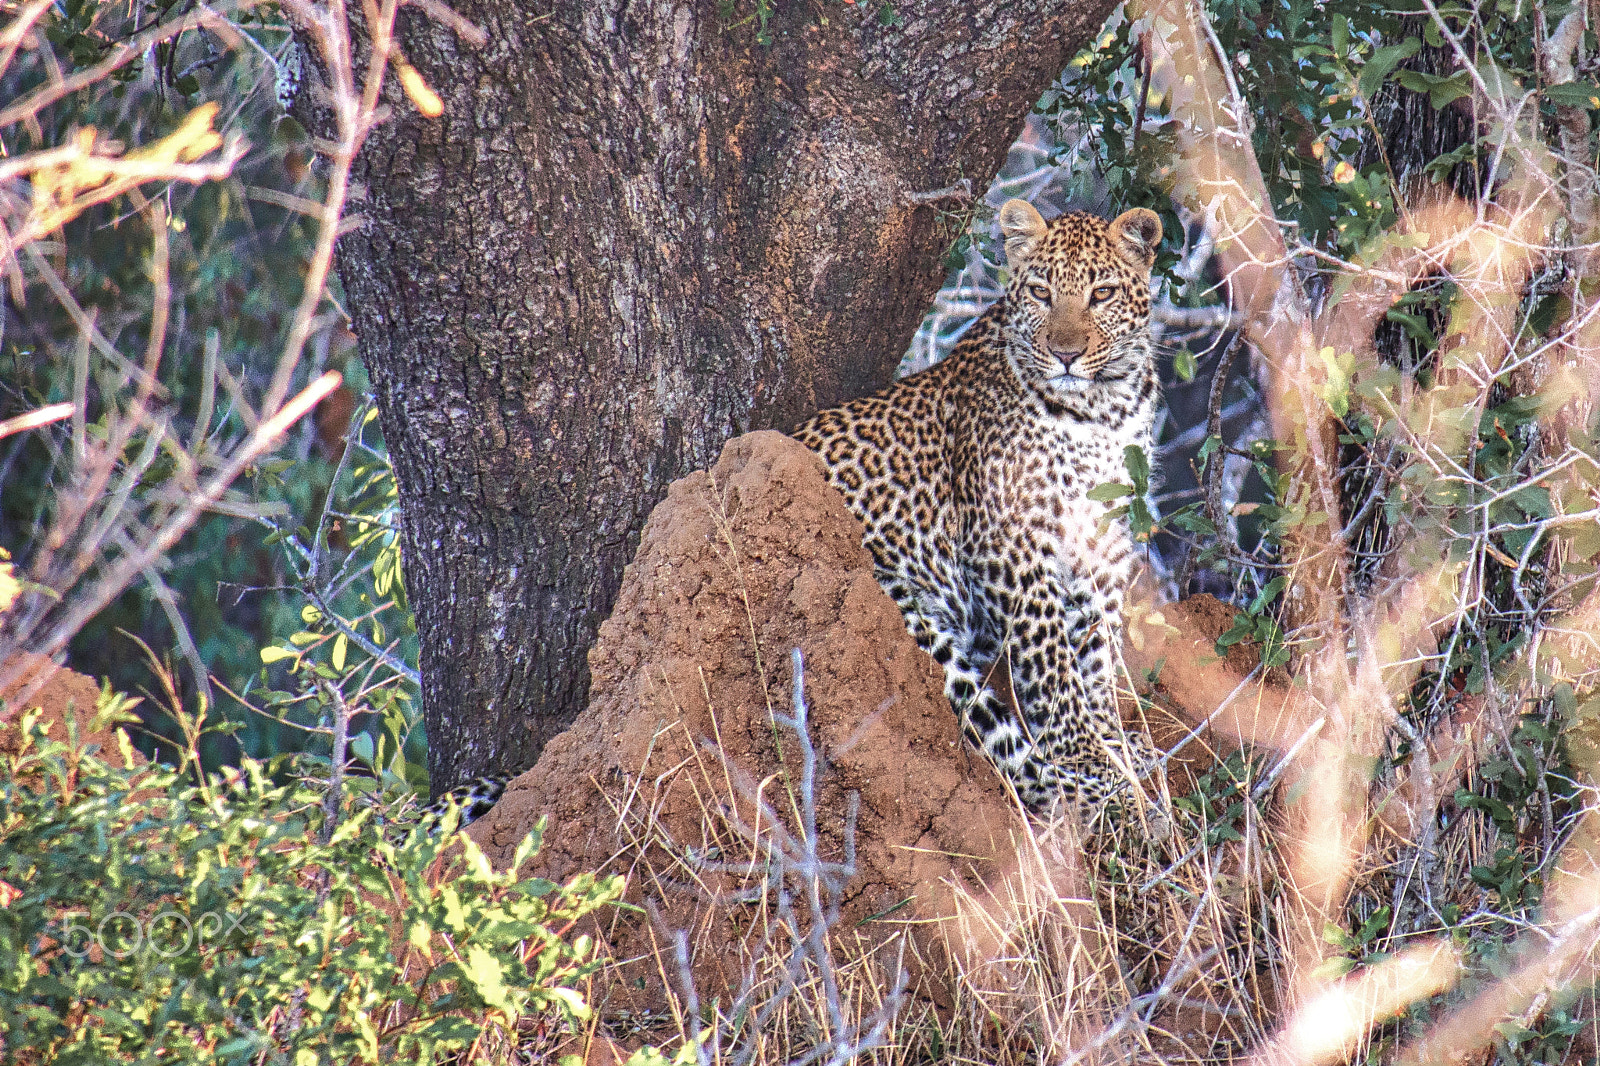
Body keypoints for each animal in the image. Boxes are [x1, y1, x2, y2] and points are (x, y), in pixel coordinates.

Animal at [793, 199, 1167, 829]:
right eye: (1041, 292)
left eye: (1102, 293)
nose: (1066, 355)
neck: (1102, 411)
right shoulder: (1010, 543)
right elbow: (1052, 661)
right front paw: (1090, 760)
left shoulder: (1103, 542)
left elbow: (1097, 655)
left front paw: (1111, 738)